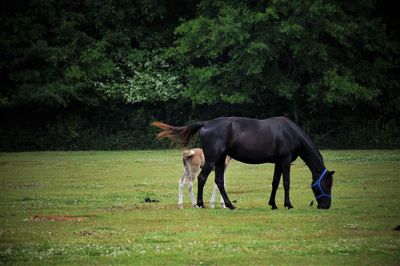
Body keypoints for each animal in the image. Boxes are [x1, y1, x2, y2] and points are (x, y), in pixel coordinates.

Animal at [153, 116, 334, 210]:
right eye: (327, 184)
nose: (325, 206)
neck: (289, 132)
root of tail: (206, 123)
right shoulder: (285, 160)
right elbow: (286, 182)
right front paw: (288, 204)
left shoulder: (278, 162)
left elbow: (275, 182)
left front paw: (273, 204)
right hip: (211, 160)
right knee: (201, 179)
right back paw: (200, 204)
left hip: (219, 160)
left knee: (218, 181)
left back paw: (229, 205)